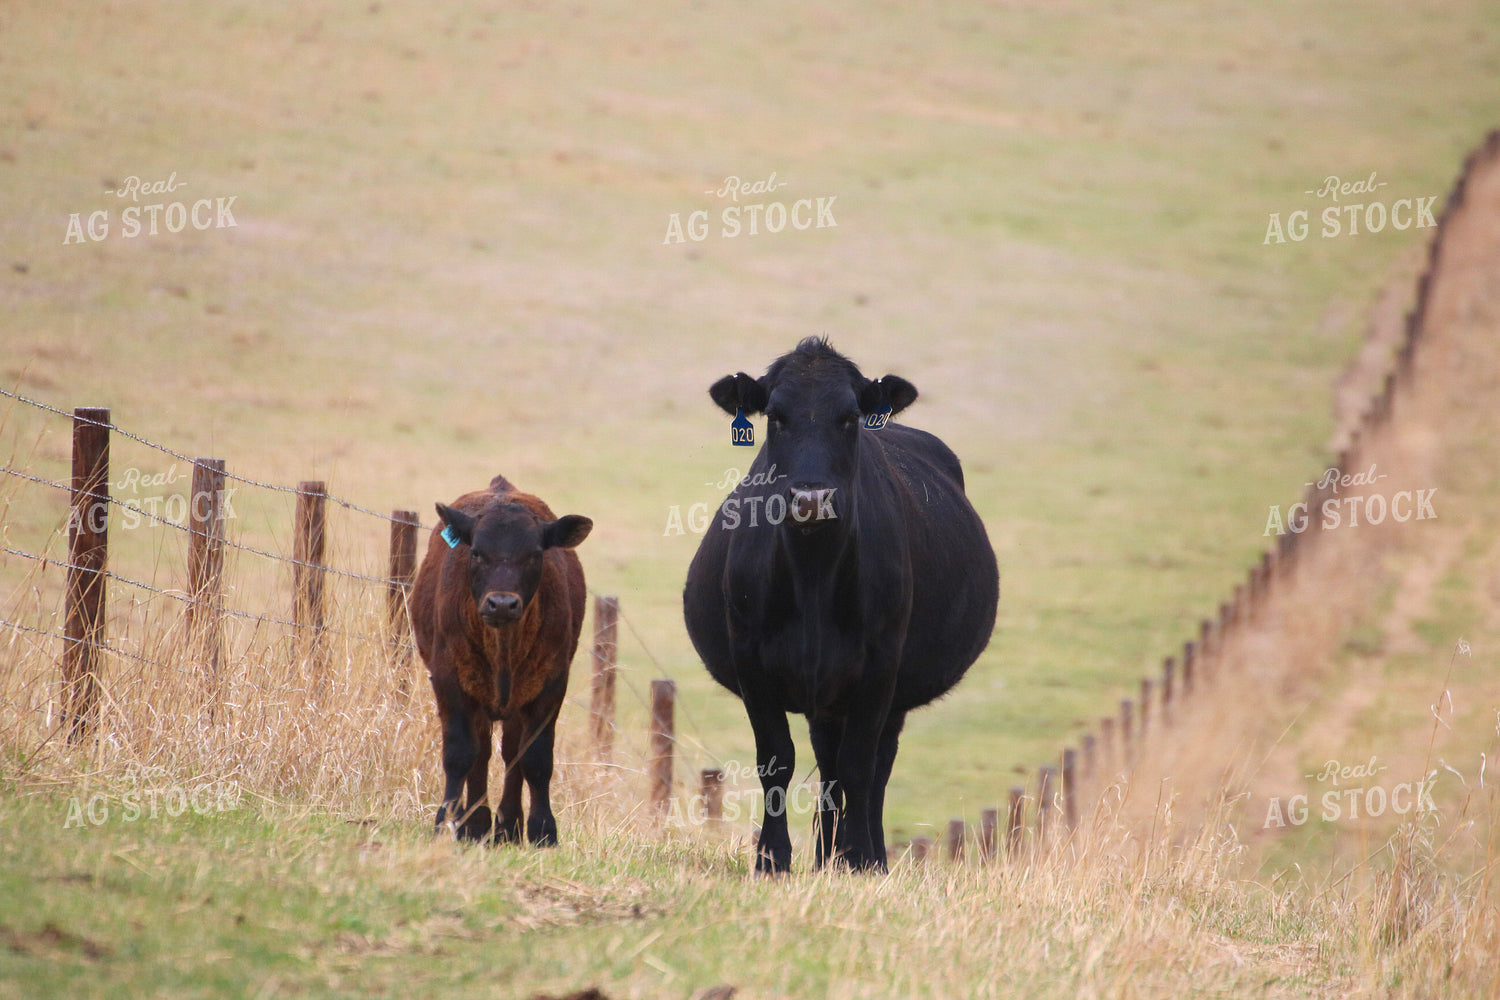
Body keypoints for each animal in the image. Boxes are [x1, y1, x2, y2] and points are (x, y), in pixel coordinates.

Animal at [410, 474, 592, 845]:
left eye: (534, 554)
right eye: (477, 552)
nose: (502, 604)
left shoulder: (551, 685)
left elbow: (535, 758)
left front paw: (542, 829)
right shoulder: (449, 679)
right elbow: (459, 754)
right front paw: (446, 822)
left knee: (510, 754)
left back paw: (507, 826)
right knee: (481, 753)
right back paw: (476, 824)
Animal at [683, 337, 999, 873]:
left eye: (850, 417)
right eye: (776, 416)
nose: (812, 497)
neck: (813, 575)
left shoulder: (881, 664)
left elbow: (859, 765)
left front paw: (860, 860)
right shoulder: (750, 660)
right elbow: (777, 759)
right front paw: (773, 859)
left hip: (888, 693)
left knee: (874, 767)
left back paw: (861, 853)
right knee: (829, 762)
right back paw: (824, 855)